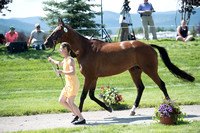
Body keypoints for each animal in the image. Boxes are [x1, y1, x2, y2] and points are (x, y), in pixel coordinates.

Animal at [44, 19, 195, 115]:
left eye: (57, 32)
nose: (46, 43)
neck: (86, 49)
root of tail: (148, 45)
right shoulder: (94, 77)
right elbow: (92, 95)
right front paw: (108, 108)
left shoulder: (89, 76)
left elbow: (83, 96)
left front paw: (77, 115)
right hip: (135, 71)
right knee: (140, 88)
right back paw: (133, 110)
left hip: (150, 70)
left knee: (161, 84)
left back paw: (171, 106)